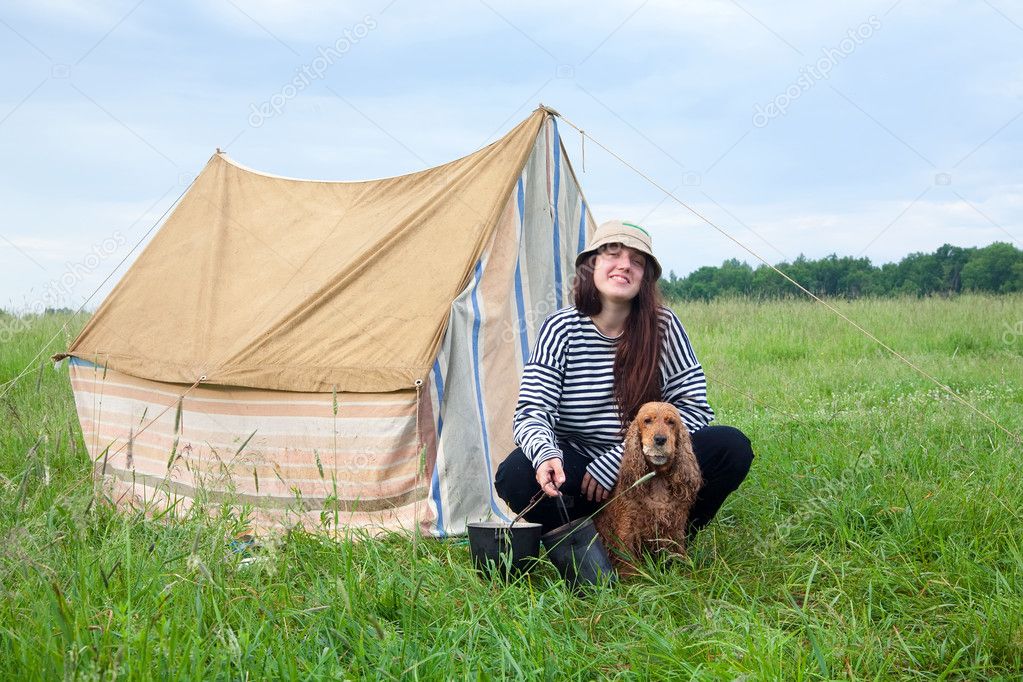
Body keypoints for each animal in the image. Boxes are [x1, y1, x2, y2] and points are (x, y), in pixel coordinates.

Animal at [593, 402, 703, 572]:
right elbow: (628, 562)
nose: (660, 439)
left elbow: (679, 553)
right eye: (647, 420)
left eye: (671, 422)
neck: (658, 480)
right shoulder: (627, 528)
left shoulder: (676, 527)